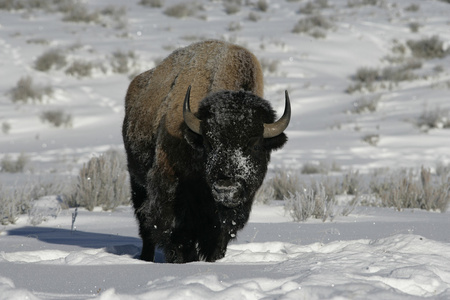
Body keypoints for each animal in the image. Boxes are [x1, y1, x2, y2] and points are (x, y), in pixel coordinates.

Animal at [122, 39, 292, 262]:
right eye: (209, 143)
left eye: (255, 145)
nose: (226, 188)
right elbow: (175, 233)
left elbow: (218, 238)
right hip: (137, 182)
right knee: (146, 227)